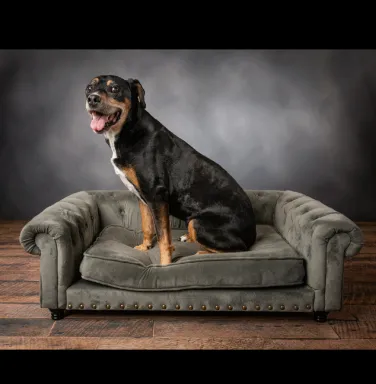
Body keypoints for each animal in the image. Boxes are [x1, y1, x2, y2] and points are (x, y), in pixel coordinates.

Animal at [85, 74, 258, 264]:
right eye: (89, 87)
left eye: (114, 88)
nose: (92, 98)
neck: (129, 130)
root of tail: (253, 234)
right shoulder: (142, 196)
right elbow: (147, 226)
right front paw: (145, 247)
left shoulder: (157, 195)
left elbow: (163, 237)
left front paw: (164, 264)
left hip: (198, 223)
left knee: (239, 249)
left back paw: (201, 252)